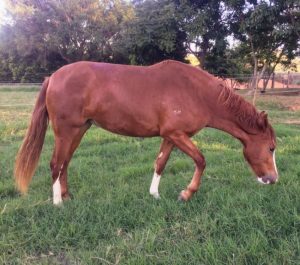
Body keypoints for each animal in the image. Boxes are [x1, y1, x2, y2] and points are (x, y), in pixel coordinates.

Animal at [13, 60, 276, 204]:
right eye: (271, 148)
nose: (273, 179)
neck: (197, 92)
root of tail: (53, 77)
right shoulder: (177, 135)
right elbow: (201, 160)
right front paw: (186, 194)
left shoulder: (171, 136)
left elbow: (160, 163)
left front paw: (155, 195)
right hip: (65, 131)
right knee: (56, 163)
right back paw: (58, 203)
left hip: (79, 130)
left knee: (65, 163)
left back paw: (66, 196)